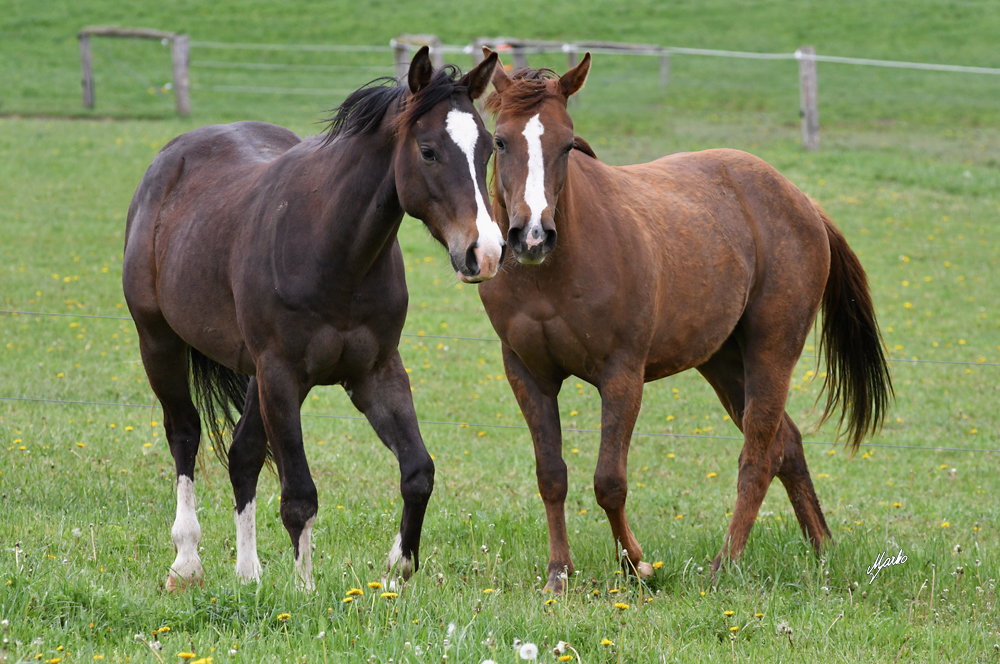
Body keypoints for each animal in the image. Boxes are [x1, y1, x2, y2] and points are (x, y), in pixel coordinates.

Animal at [123, 49, 500, 592]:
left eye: (489, 149)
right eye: (428, 151)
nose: (485, 253)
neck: (333, 251)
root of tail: (170, 159)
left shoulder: (375, 373)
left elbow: (418, 473)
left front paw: (398, 568)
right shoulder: (281, 374)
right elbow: (299, 496)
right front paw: (305, 589)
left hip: (255, 374)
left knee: (243, 454)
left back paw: (248, 573)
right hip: (160, 343)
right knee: (185, 433)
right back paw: (187, 561)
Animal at [476, 50, 892, 592]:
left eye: (567, 144)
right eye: (500, 140)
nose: (532, 235)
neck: (553, 273)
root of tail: (802, 201)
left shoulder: (622, 374)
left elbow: (609, 482)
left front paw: (638, 565)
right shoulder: (528, 374)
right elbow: (551, 476)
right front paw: (559, 575)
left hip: (771, 351)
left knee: (759, 453)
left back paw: (725, 563)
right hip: (723, 361)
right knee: (787, 444)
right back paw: (820, 548)